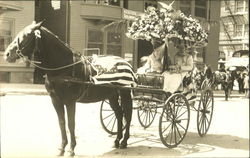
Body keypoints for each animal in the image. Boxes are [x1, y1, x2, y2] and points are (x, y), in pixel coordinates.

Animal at [3, 21, 133, 156]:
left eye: (27, 35)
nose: (7, 54)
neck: (63, 67)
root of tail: (124, 61)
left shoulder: (70, 101)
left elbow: (71, 124)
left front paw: (71, 149)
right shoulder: (56, 100)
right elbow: (62, 122)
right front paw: (62, 148)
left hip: (125, 92)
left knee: (127, 114)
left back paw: (124, 141)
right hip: (112, 95)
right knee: (119, 114)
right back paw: (117, 140)